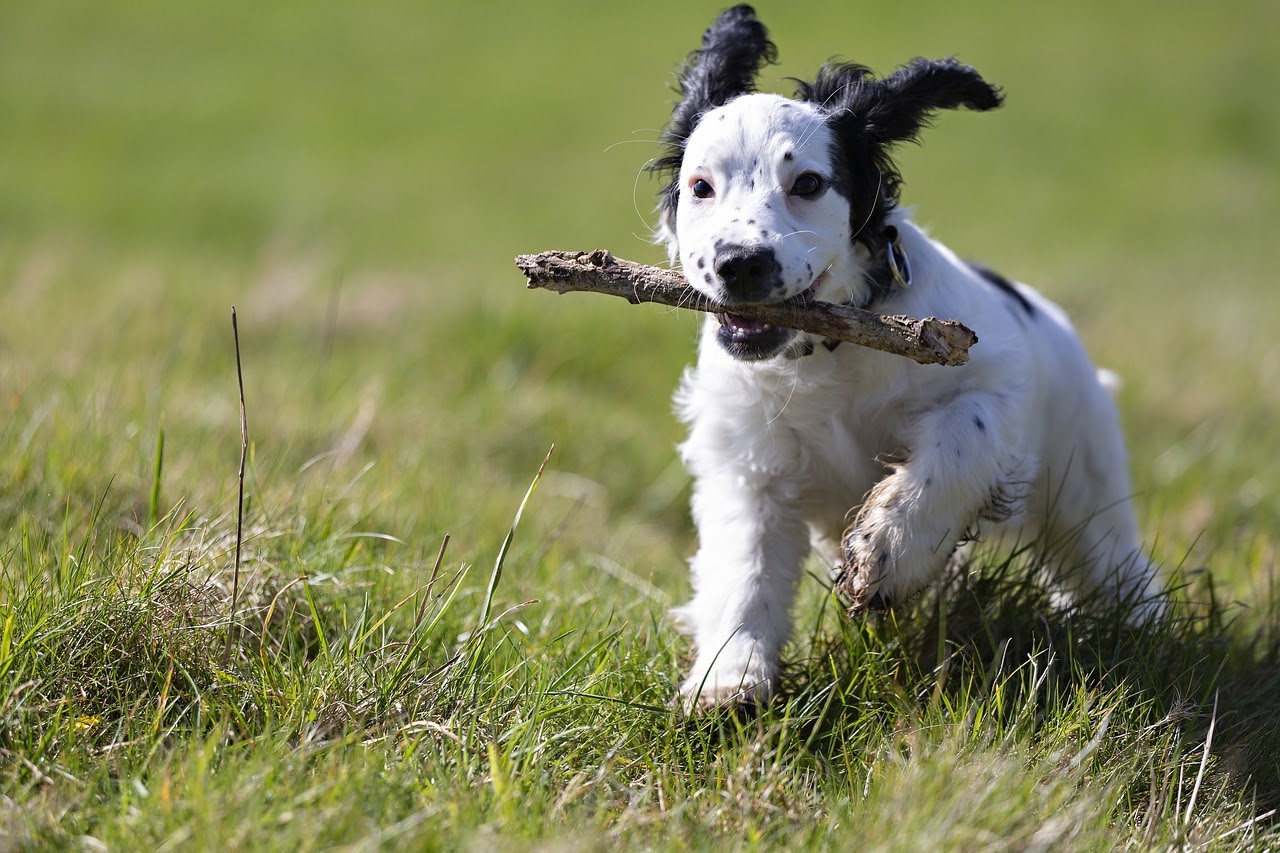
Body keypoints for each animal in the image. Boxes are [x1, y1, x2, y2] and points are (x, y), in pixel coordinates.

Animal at [655, 6, 1167, 712]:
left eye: (808, 184)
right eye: (700, 187)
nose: (740, 264)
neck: (827, 352)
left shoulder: (994, 385)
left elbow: (957, 443)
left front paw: (889, 554)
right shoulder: (747, 464)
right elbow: (745, 568)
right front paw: (730, 683)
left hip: (1085, 488)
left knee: (1112, 567)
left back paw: (1148, 637)